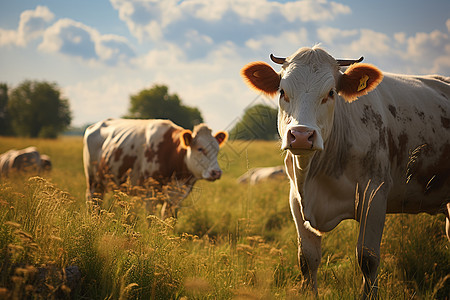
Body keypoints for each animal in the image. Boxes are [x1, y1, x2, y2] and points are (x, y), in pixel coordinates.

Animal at [82, 118, 227, 218]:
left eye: (217, 150)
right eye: (200, 149)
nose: (216, 172)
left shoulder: (177, 197)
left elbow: (167, 219)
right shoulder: (150, 194)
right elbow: (150, 219)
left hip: (101, 184)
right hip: (92, 181)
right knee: (91, 201)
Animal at [241, 45, 450, 298]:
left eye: (331, 93)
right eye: (282, 92)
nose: (301, 135)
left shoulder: (375, 196)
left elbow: (367, 258)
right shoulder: (296, 201)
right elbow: (307, 259)